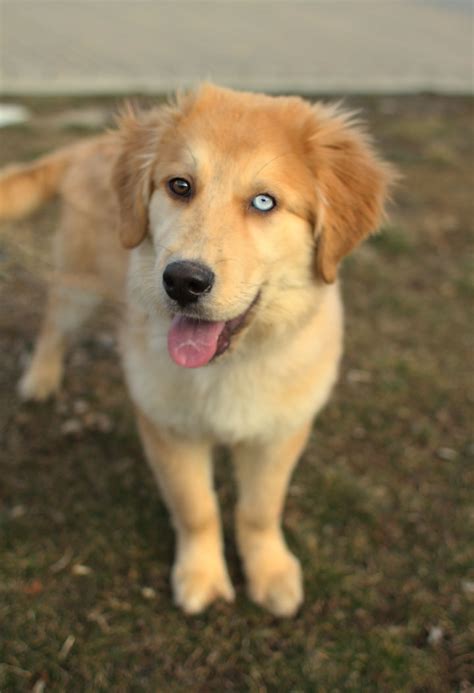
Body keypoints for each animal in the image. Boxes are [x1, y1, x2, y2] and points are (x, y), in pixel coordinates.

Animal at [0, 85, 392, 616]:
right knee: (53, 324)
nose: (183, 281)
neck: (229, 363)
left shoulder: (281, 432)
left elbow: (259, 509)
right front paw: (202, 577)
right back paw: (40, 378)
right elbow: (197, 507)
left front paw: (270, 572)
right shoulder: (168, 428)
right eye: (180, 186)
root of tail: (91, 145)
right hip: (80, 283)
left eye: (264, 202)